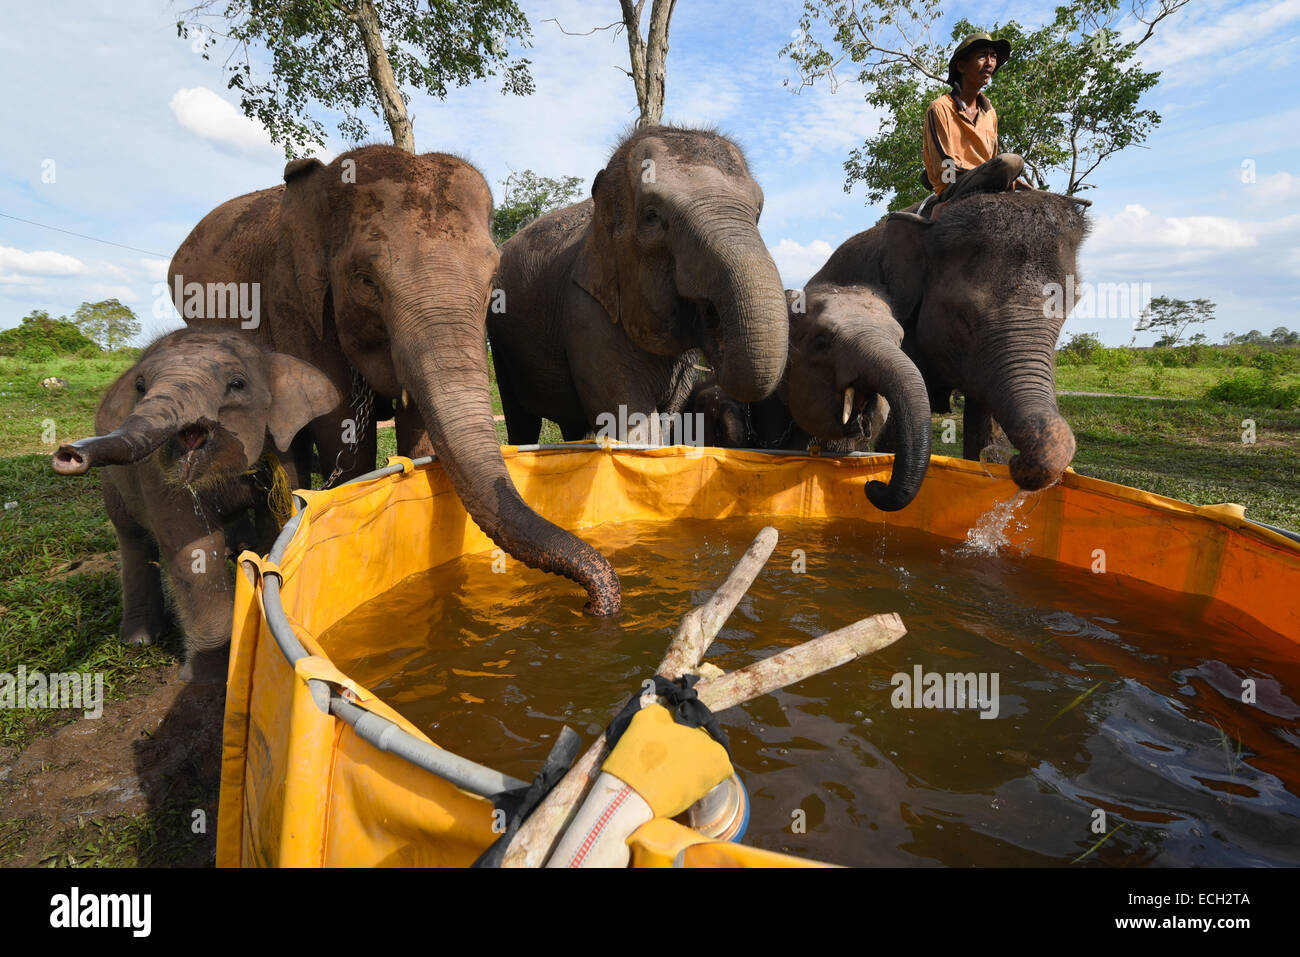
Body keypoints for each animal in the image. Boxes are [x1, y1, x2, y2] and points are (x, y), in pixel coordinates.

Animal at [51, 328, 338, 681]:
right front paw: (208, 677)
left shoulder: (281, 453)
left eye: (237, 384)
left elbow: (275, 523)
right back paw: (139, 640)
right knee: (131, 537)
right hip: (112, 481)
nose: (68, 454)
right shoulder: (158, 474)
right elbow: (193, 550)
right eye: (140, 386)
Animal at [169, 146, 624, 616]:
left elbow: (416, 423)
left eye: (491, 281)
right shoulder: (293, 301)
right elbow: (340, 425)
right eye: (365, 281)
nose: (593, 606)